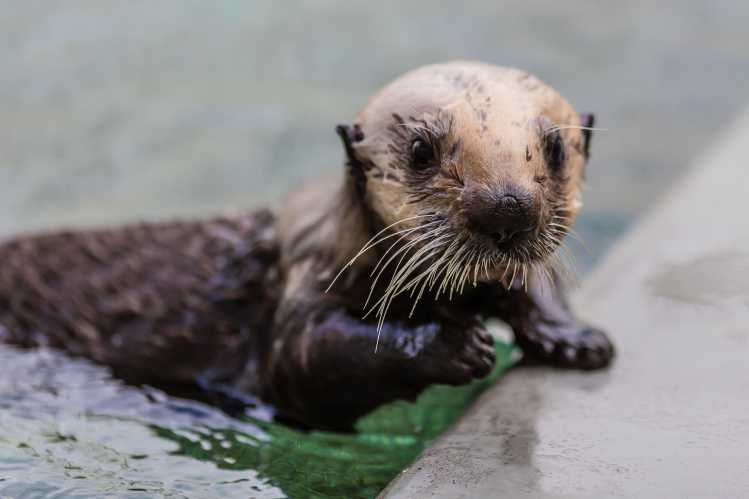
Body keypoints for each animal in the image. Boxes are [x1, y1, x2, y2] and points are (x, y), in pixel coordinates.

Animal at [0, 61, 613, 430]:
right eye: (421, 150)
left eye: (555, 149)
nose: (507, 208)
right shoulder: (306, 282)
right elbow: (313, 357)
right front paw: (452, 344)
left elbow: (533, 281)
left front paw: (577, 338)